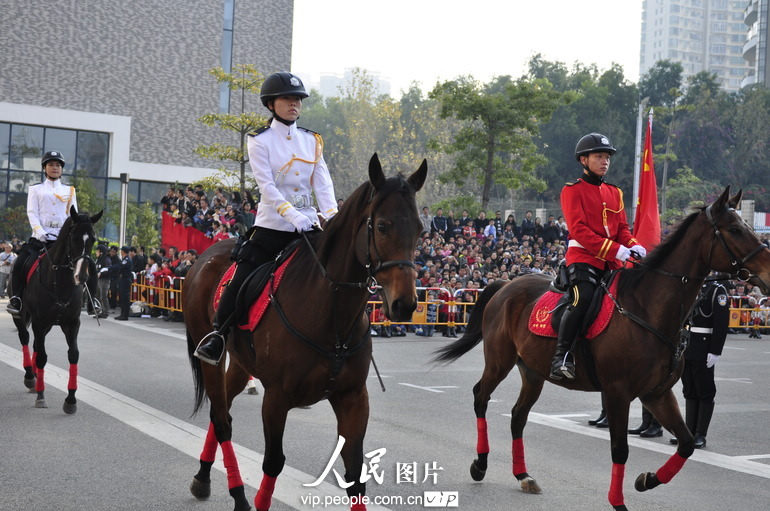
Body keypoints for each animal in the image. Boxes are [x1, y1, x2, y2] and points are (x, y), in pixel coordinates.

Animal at [184, 154, 428, 510]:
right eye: (382, 226)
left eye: (420, 230)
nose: (405, 304)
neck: (332, 317)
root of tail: (204, 257)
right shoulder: (276, 398)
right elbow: (273, 464)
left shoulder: (353, 397)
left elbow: (355, 473)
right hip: (211, 358)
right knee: (221, 419)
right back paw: (237, 493)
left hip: (241, 365)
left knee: (224, 410)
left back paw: (203, 476)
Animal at [432, 189, 768, 511]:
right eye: (735, 229)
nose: (767, 270)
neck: (647, 308)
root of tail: (505, 285)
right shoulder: (618, 392)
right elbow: (620, 449)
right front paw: (618, 502)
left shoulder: (657, 393)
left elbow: (684, 443)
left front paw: (646, 480)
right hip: (499, 361)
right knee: (481, 397)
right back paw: (480, 464)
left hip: (533, 372)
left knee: (518, 416)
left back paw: (523, 475)